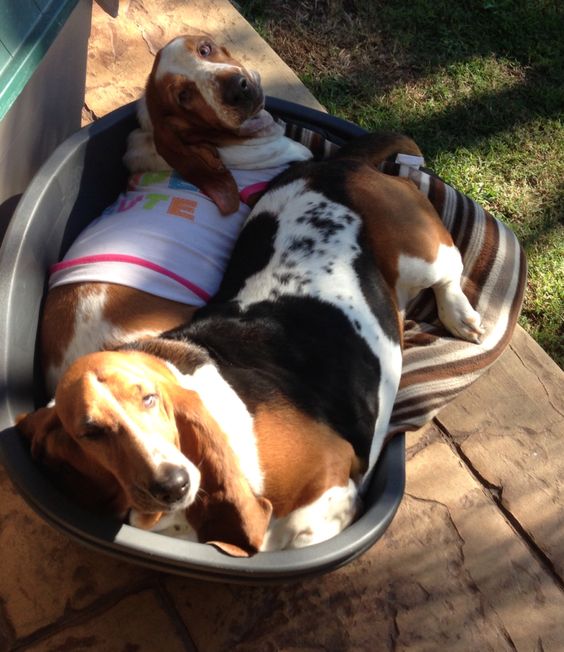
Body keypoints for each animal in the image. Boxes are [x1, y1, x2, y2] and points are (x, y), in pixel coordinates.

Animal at [18, 33, 484, 556]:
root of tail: (335, 167)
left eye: (149, 399)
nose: (170, 483)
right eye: (90, 433)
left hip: (421, 252)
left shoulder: (332, 479)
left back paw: (460, 315)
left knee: (449, 271)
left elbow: (300, 528)